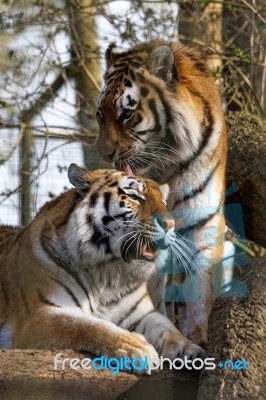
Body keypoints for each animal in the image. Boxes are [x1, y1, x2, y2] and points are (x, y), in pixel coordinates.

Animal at [0, 163, 204, 368]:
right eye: (134, 197)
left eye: (163, 201)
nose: (170, 224)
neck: (109, 274)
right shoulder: (41, 314)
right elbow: (87, 326)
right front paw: (136, 346)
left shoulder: (143, 314)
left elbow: (166, 327)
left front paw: (188, 348)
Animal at [96, 39, 225, 348]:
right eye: (99, 115)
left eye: (127, 114)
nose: (103, 153)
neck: (168, 162)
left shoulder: (203, 218)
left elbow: (198, 286)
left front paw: (197, 336)